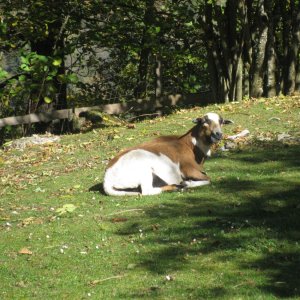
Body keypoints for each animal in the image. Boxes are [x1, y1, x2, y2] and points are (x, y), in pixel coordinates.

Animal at [103, 111, 232, 196]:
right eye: (204, 121)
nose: (218, 134)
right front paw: (187, 183)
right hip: (145, 173)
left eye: (221, 122)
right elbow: (208, 179)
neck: (188, 145)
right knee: (147, 191)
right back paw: (178, 186)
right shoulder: (188, 169)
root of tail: (107, 179)